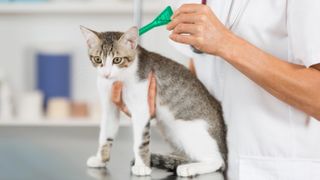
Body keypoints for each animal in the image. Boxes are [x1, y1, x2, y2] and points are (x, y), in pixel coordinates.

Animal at [80, 25, 226, 177]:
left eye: (117, 60)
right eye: (97, 59)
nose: (106, 74)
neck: (118, 79)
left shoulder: (141, 109)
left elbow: (140, 141)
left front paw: (141, 166)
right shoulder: (109, 107)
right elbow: (105, 135)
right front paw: (100, 159)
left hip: (188, 129)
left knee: (218, 162)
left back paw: (190, 167)